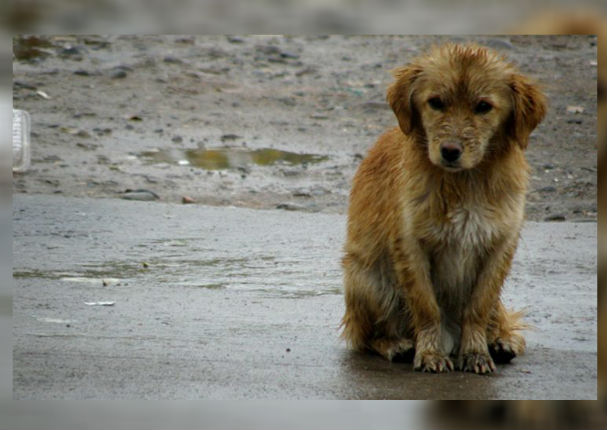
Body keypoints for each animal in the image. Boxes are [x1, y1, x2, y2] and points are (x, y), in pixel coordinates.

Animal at [342, 43, 548, 372]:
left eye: (483, 106)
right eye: (436, 102)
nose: (450, 151)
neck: (465, 182)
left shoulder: (499, 247)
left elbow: (478, 307)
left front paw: (475, 352)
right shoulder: (411, 246)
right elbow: (427, 307)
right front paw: (430, 353)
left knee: (500, 319)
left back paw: (501, 341)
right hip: (368, 280)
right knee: (366, 335)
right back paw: (397, 345)